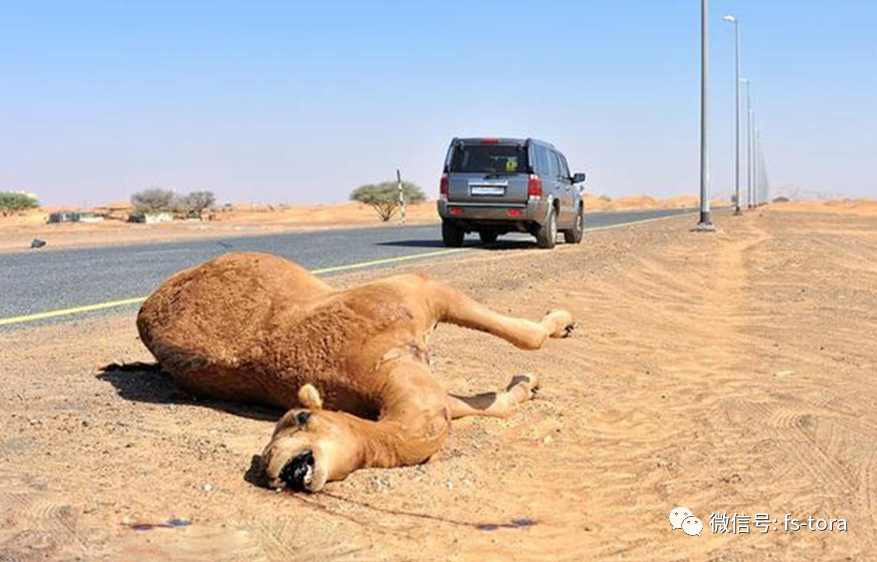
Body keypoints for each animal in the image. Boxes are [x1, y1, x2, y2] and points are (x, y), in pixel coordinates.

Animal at [137, 250, 576, 490]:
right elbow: (491, 396)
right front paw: (531, 376)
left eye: (300, 418)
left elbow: (524, 344)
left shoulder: (418, 293)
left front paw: (556, 334)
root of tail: (145, 307)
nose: (275, 466)